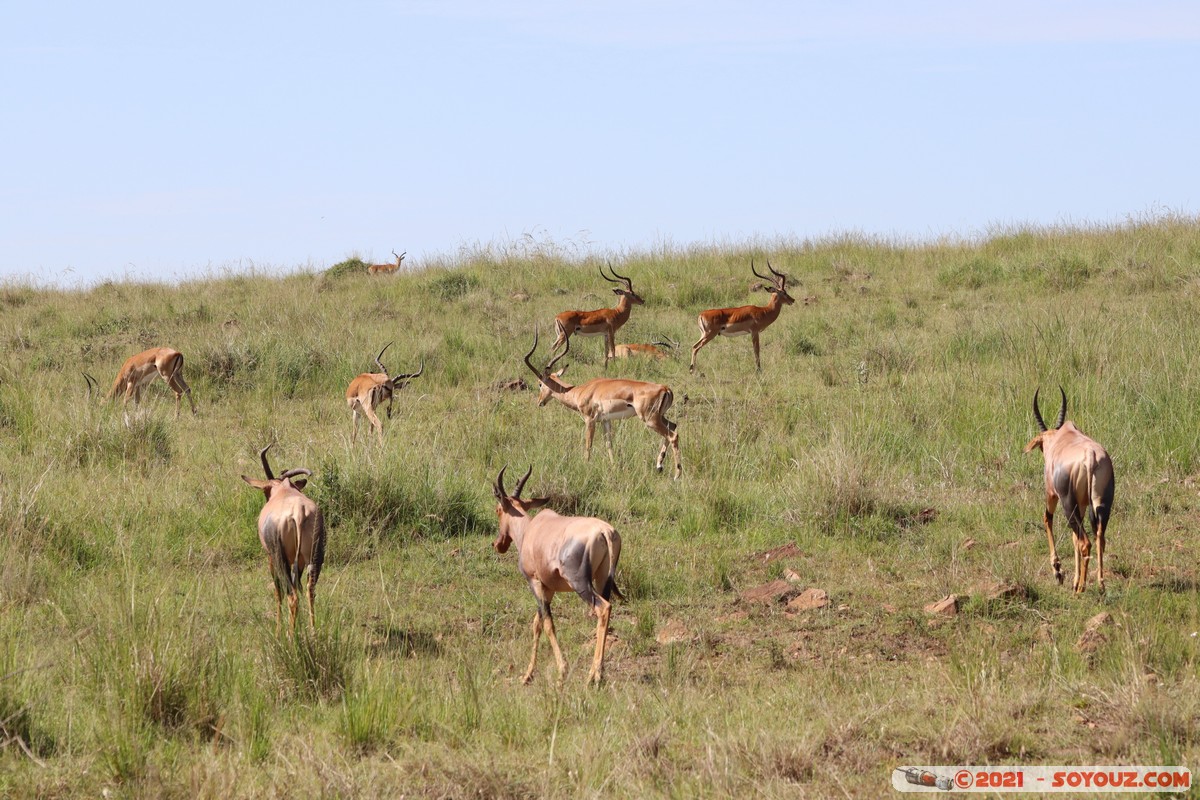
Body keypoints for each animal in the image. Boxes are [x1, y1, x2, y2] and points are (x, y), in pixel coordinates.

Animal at [241, 448, 326, 633]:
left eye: (265, 491)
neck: (284, 491)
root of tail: (299, 511)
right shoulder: (298, 562)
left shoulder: (271, 559)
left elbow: (277, 592)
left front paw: (278, 629)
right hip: (314, 558)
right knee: (309, 590)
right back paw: (312, 631)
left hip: (280, 559)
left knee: (291, 595)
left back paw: (289, 635)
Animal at [489, 465, 624, 686]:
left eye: (498, 509)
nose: (498, 544)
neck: (532, 530)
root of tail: (606, 532)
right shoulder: (549, 588)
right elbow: (536, 623)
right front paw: (527, 675)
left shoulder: (535, 582)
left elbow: (547, 623)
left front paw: (562, 671)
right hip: (603, 579)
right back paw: (599, 673)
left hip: (580, 583)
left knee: (603, 608)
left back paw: (592, 675)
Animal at [523, 328, 681, 479]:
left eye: (539, 384)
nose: (540, 402)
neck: (580, 391)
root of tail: (665, 388)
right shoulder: (606, 421)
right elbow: (609, 444)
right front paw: (614, 467)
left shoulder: (590, 420)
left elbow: (588, 445)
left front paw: (586, 465)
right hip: (659, 417)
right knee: (673, 426)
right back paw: (659, 466)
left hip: (650, 419)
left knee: (673, 435)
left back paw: (676, 475)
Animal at [1022, 388, 1113, 594]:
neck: (1062, 437)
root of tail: (1091, 456)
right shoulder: (1082, 505)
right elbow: (1073, 539)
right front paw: (1072, 579)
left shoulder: (1051, 495)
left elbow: (1047, 519)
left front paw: (1058, 571)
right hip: (1101, 504)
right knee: (1098, 539)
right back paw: (1100, 585)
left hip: (1067, 503)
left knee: (1084, 542)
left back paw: (1080, 589)